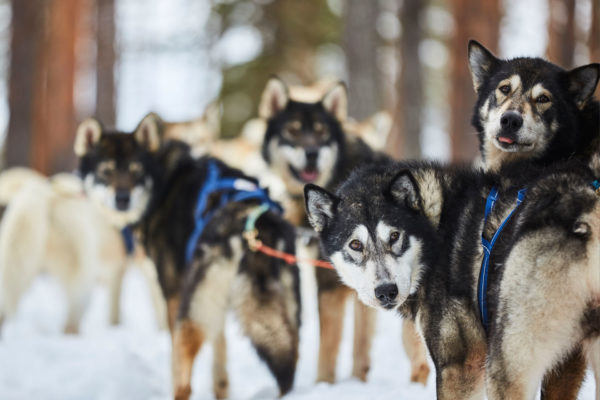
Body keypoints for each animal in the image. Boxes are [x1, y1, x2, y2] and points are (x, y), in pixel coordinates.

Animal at [75, 118, 300, 400]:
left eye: (136, 171)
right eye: (106, 171)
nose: (122, 199)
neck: (162, 182)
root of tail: (250, 217)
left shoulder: (173, 296)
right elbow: (220, 359)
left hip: (191, 311)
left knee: (184, 379)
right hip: (285, 312)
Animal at [308, 158, 600, 398]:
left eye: (394, 236)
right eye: (355, 245)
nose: (387, 291)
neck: (437, 228)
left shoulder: (460, 365)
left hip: (507, 364)